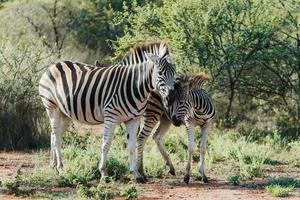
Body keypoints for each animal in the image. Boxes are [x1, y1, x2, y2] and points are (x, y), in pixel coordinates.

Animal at [38, 41, 177, 181]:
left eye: (174, 73)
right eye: (160, 73)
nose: (171, 98)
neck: (134, 86)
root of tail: (55, 64)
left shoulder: (134, 119)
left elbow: (132, 146)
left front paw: (135, 173)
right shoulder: (111, 117)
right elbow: (106, 144)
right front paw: (103, 173)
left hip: (65, 113)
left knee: (55, 135)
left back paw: (54, 166)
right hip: (52, 107)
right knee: (56, 137)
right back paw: (60, 168)